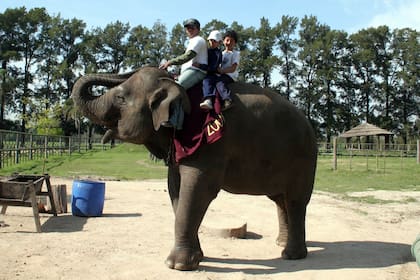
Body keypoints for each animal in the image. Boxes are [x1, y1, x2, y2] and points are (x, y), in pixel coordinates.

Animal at [72, 66, 316, 272]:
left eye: (120, 98)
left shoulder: (209, 145)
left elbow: (198, 190)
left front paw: (177, 266)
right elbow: (176, 189)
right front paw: (198, 257)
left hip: (303, 160)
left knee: (295, 201)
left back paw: (291, 255)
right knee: (280, 200)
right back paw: (280, 243)